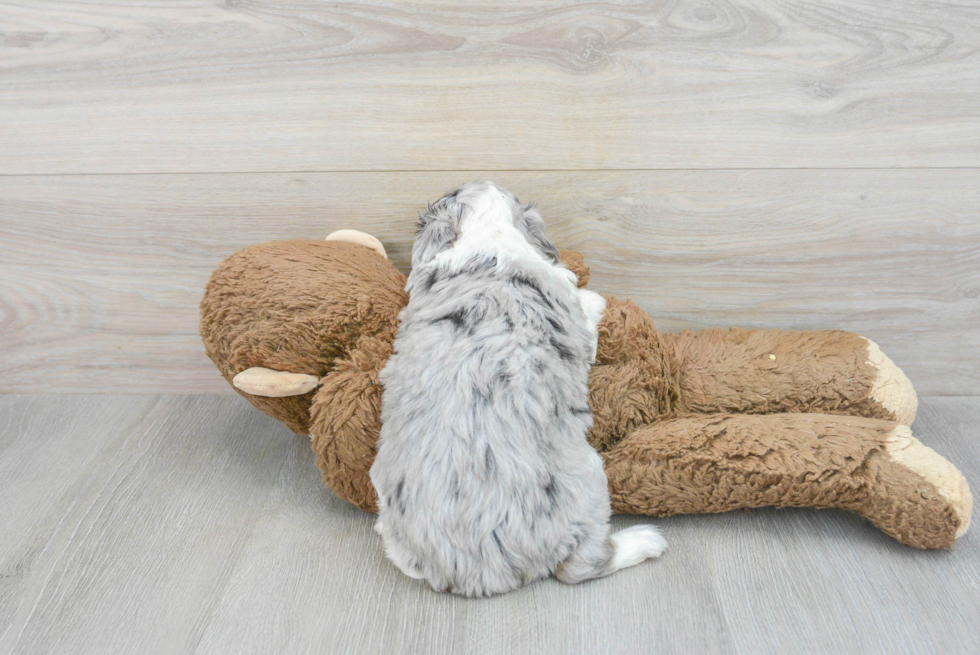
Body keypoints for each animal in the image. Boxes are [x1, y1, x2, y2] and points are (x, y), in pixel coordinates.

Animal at [368, 182, 668, 596]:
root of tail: (478, 571)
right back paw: (646, 541)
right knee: (581, 566)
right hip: (589, 482)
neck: (488, 238)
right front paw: (596, 298)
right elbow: (589, 304)